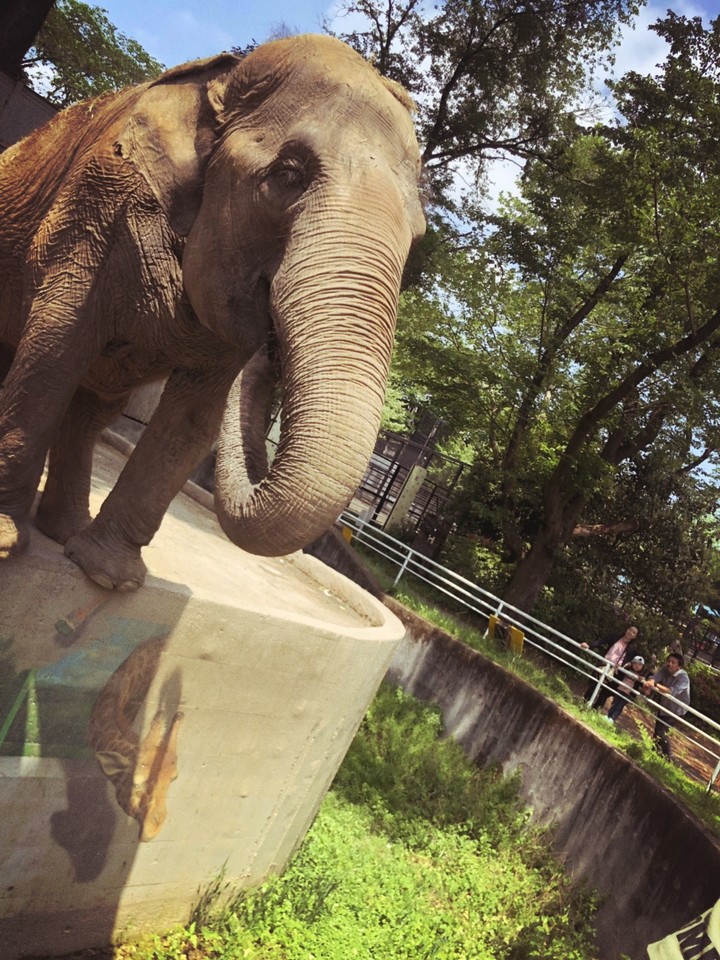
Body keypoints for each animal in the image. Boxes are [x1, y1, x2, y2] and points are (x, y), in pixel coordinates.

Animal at [0, 34, 425, 590]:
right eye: (288, 175)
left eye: (418, 233)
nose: (272, 346)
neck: (223, 80)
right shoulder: (97, 200)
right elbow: (53, 349)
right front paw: (6, 543)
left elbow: (195, 417)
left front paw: (112, 578)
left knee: (96, 406)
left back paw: (65, 531)